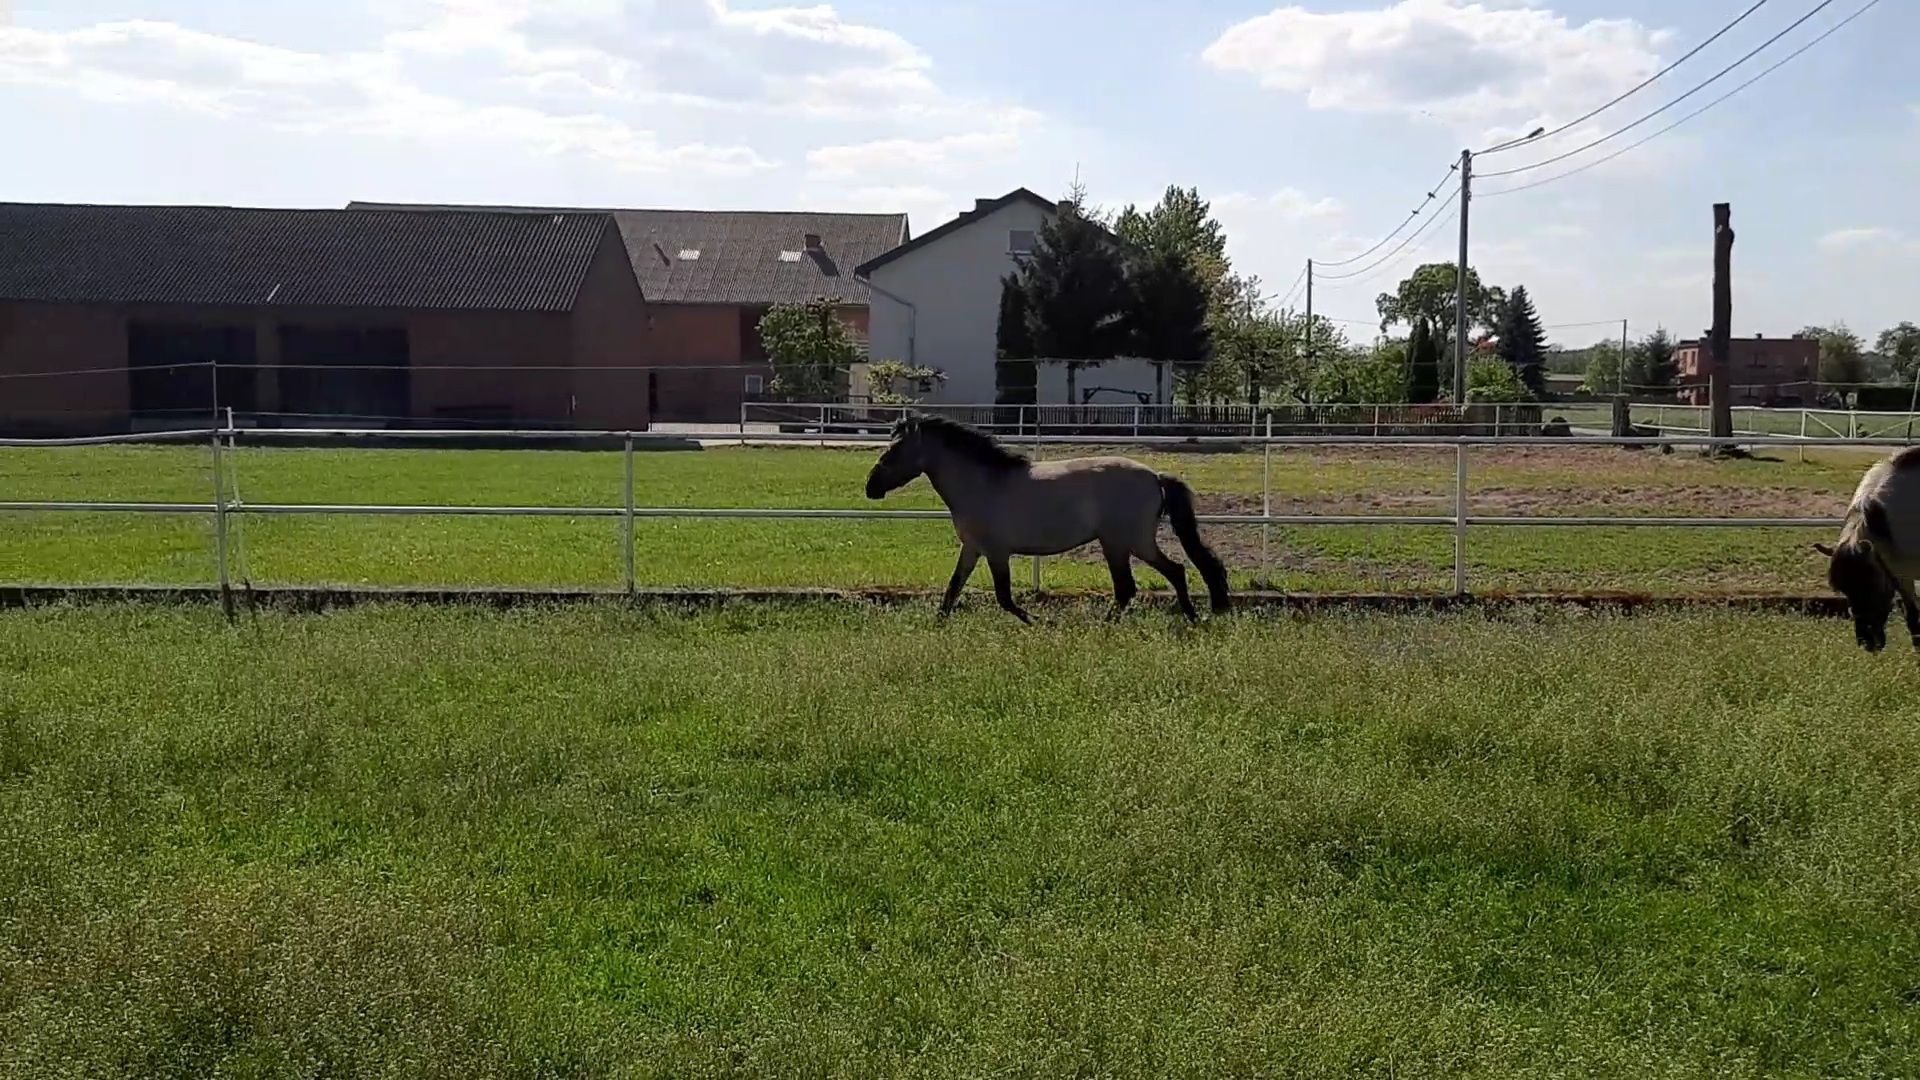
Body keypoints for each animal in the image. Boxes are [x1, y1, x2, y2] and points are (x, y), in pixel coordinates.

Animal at [860, 411, 1228, 618]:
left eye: (895, 450)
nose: (870, 486)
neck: (981, 482)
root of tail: (1155, 476)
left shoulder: (996, 552)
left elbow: (1005, 598)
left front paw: (1041, 622)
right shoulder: (973, 549)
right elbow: (952, 592)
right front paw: (937, 624)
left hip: (1125, 543)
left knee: (1142, 583)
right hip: (1125, 544)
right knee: (1164, 576)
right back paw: (1191, 617)